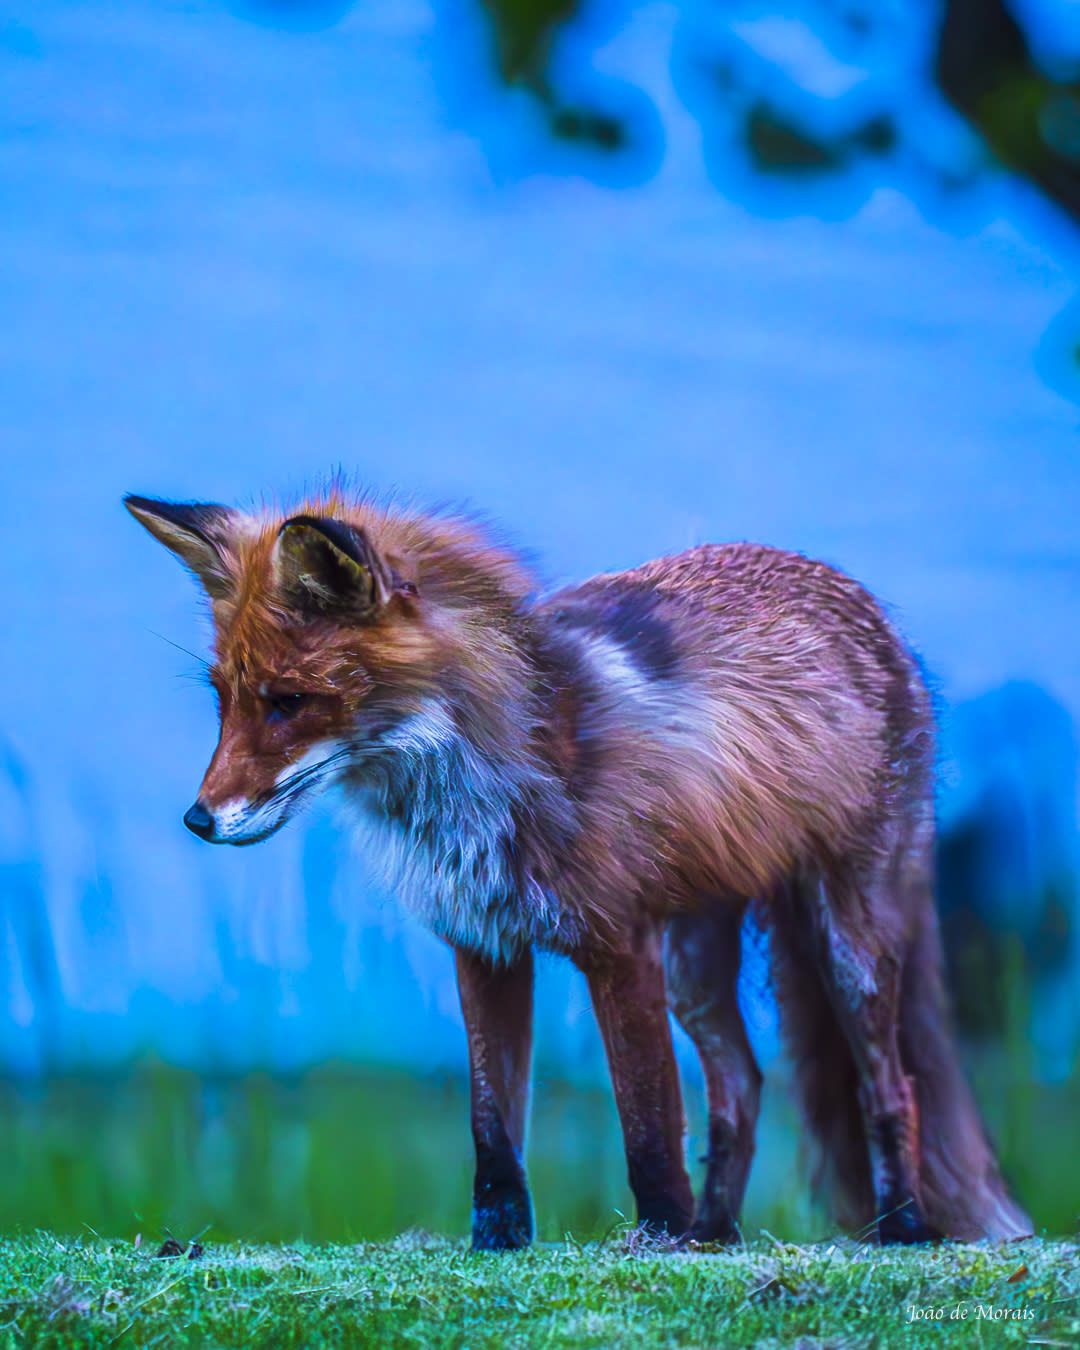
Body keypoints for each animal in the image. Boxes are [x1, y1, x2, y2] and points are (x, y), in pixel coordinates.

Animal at [124, 488, 1031, 1252]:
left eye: (288, 702)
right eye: (223, 699)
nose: (197, 821)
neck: (482, 782)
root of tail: (856, 595)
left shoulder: (617, 943)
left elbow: (648, 1120)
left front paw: (659, 1237)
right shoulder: (484, 946)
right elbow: (493, 1126)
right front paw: (498, 1245)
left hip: (847, 946)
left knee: (891, 1088)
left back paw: (899, 1226)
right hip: (695, 967)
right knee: (742, 1086)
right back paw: (718, 1234)